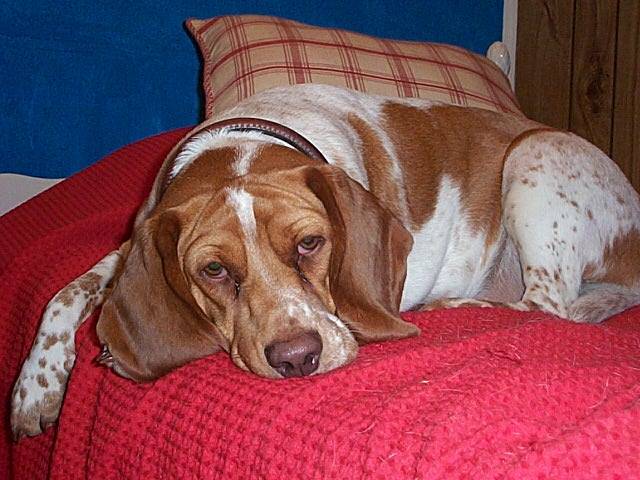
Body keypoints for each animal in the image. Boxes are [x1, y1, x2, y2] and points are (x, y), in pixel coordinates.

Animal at [11, 83, 640, 438]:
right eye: (214, 271)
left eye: (310, 243)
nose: (297, 359)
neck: (242, 144)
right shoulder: (129, 242)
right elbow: (66, 293)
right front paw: (36, 387)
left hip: (535, 157)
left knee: (546, 306)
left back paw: (453, 305)